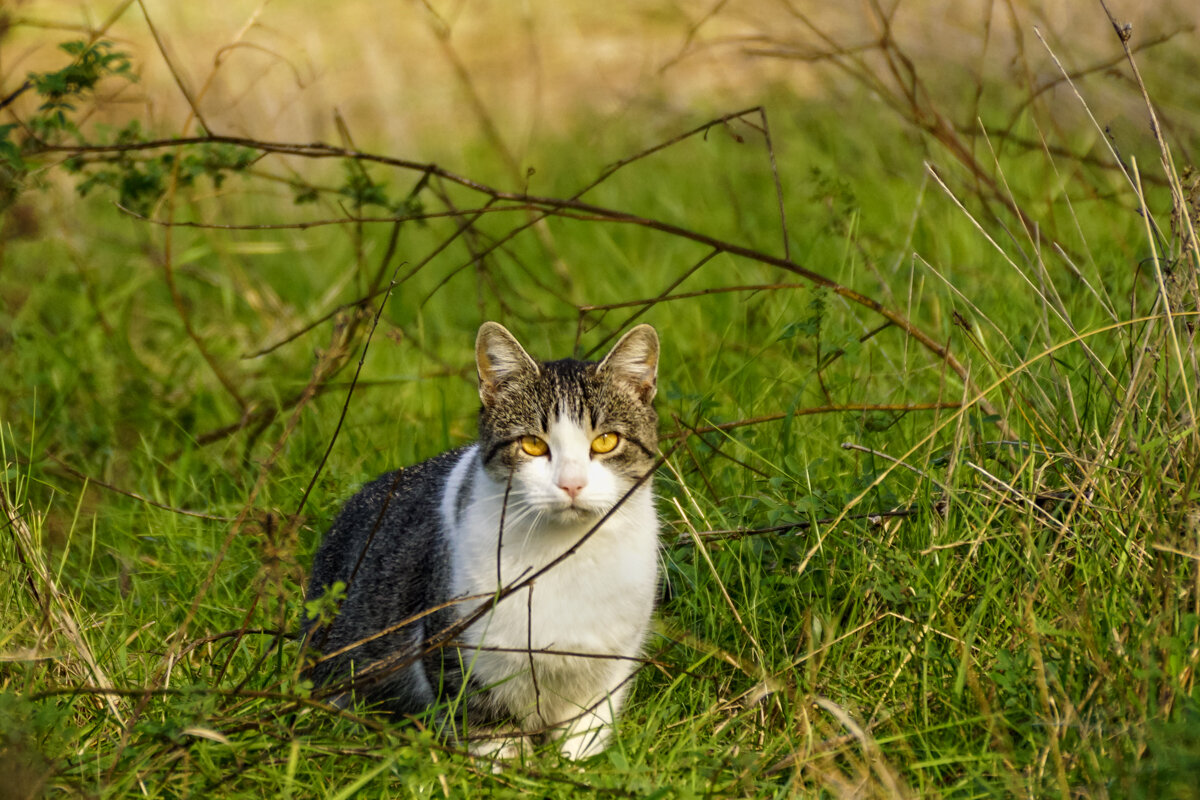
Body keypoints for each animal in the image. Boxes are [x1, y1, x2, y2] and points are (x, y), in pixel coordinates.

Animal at [297, 321, 657, 762]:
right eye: (533, 444)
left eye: (606, 441)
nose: (571, 484)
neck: (564, 554)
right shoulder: (460, 650)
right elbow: (488, 731)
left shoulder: (607, 665)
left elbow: (583, 735)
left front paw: (573, 767)